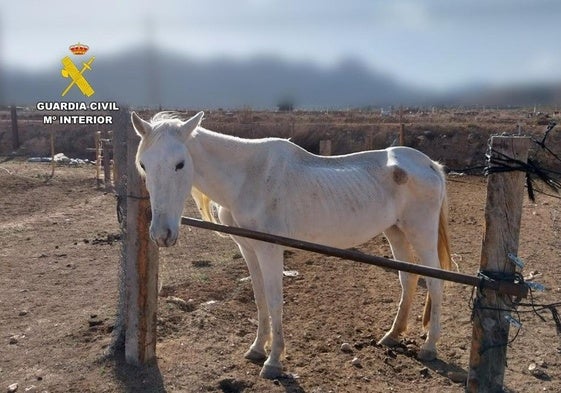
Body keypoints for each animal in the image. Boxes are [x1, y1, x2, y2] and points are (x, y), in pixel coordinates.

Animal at [131, 109, 450, 376]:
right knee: (408, 278)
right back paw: (392, 336)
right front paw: (257, 349)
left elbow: (274, 301)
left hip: (421, 233)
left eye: (180, 164)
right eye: (144, 165)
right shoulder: (248, 249)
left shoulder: (270, 250)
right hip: (395, 231)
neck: (248, 178)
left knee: (435, 282)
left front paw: (273, 361)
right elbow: (260, 299)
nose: (161, 234)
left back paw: (430, 347)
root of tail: (429, 164)